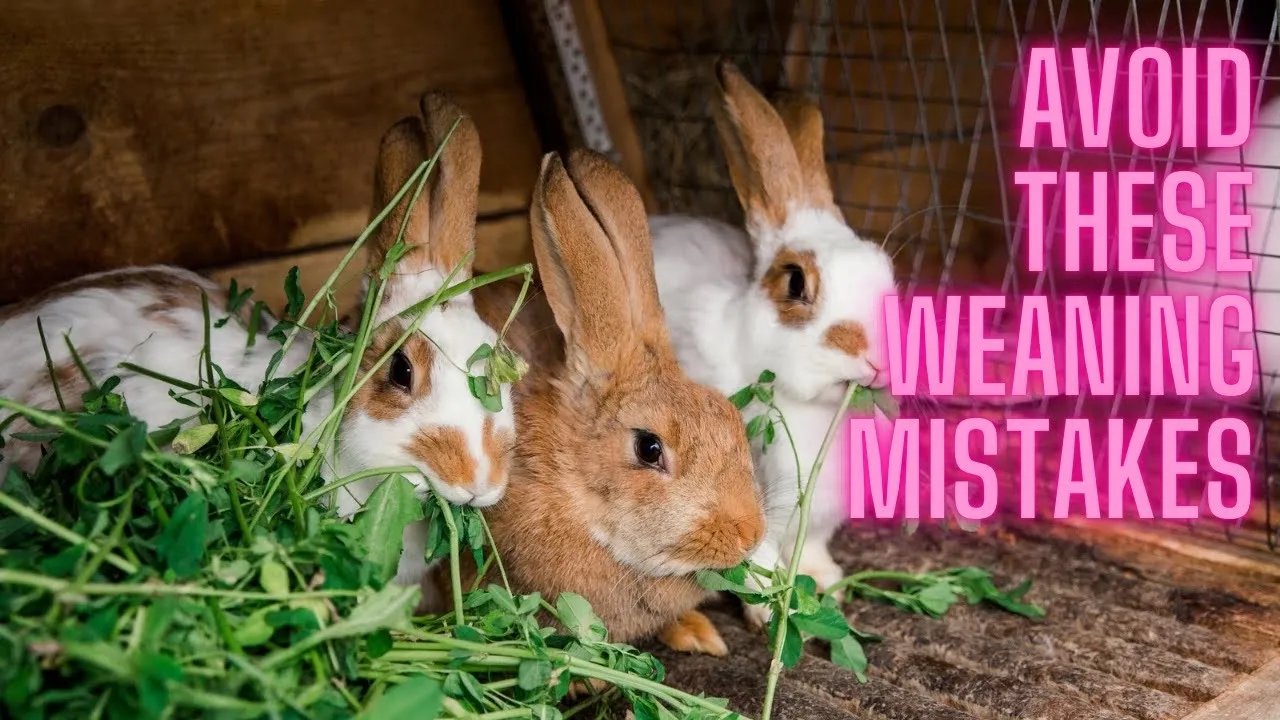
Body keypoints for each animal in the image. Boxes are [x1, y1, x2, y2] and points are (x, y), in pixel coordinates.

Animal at [647, 61, 898, 617]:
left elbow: (814, 549)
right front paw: (770, 608)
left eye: (887, 271)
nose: (877, 356)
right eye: (795, 283)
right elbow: (751, 558)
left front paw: (824, 582)